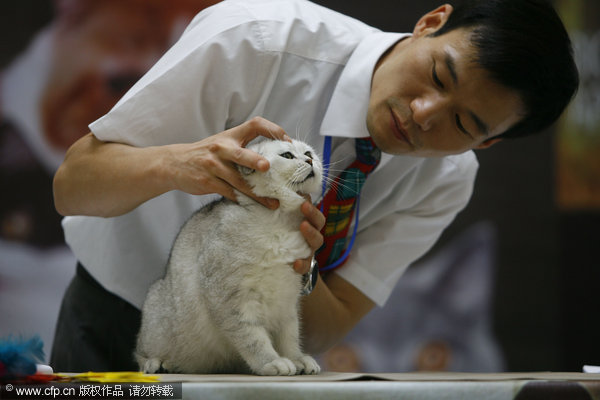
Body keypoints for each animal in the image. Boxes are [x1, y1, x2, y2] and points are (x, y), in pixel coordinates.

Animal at [136, 138, 324, 376]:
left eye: (308, 153)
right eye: (288, 156)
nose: (310, 161)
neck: (279, 219)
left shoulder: (287, 301)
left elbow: (289, 337)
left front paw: (297, 359)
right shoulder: (230, 298)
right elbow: (253, 338)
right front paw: (271, 362)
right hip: (156, 323)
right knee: (139, 353)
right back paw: (157, 364)